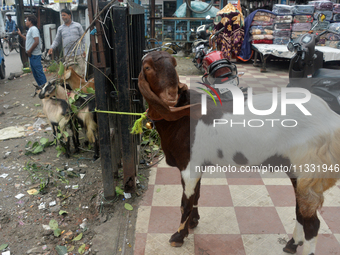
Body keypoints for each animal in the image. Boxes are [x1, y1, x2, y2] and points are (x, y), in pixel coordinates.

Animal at [137, 50, 340, 254]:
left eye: (174, 64)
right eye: (147, 67)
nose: (171, 96)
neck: (180, 119)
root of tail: (331, 118)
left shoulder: (189, 167)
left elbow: (185, 203)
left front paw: (178, 237)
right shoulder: (198, 164)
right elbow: (196, 195)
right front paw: (193, 223)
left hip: (310, 169)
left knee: (312, 223)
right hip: (298, 171)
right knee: (301, 211)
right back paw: (292, 244)